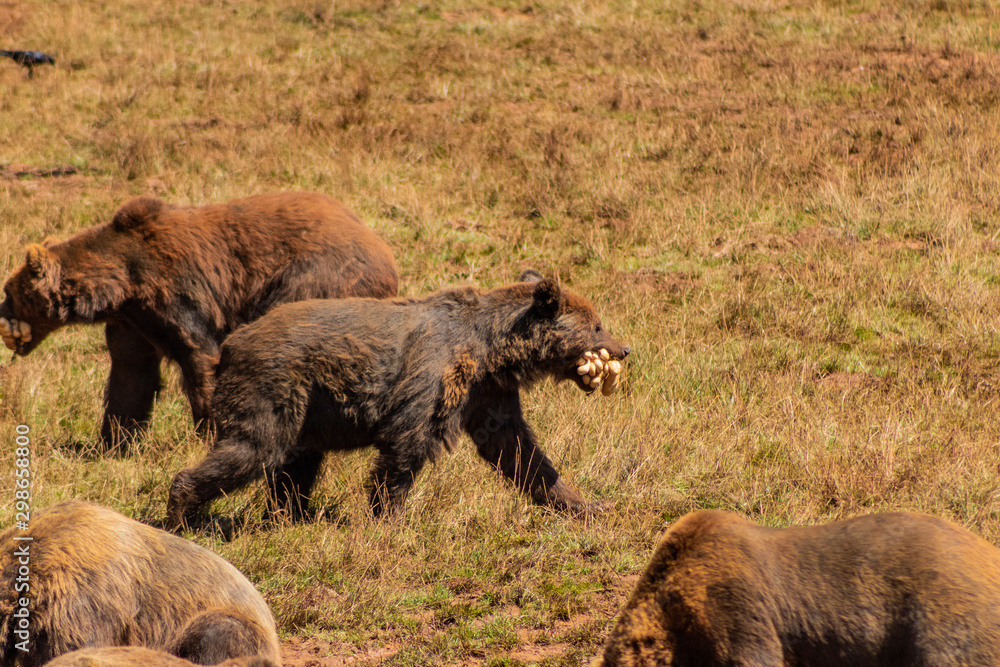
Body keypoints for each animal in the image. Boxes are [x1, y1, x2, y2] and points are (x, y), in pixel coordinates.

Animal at [0, 193, 398, 454]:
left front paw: (208, 433)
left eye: (8, 290)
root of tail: (385, 252)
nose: (1, 316)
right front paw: (113, 443)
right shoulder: (134, 323)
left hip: (315, 280)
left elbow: (200, 357)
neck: (122, 286)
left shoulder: (177, 296)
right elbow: (130, 376)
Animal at [167, 272, 628, 528]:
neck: (490, 350)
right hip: (275, 391)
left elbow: (518, 451)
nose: (624, 349)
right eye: (597, 325)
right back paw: (181, 512)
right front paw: (389, 519)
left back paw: (290, 516)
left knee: (295, 468)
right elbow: (406, 446)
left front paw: (585, 504)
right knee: (252, 449)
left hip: (307, 416)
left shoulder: (488, 394)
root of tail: (230, 346)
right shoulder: (433, 378)